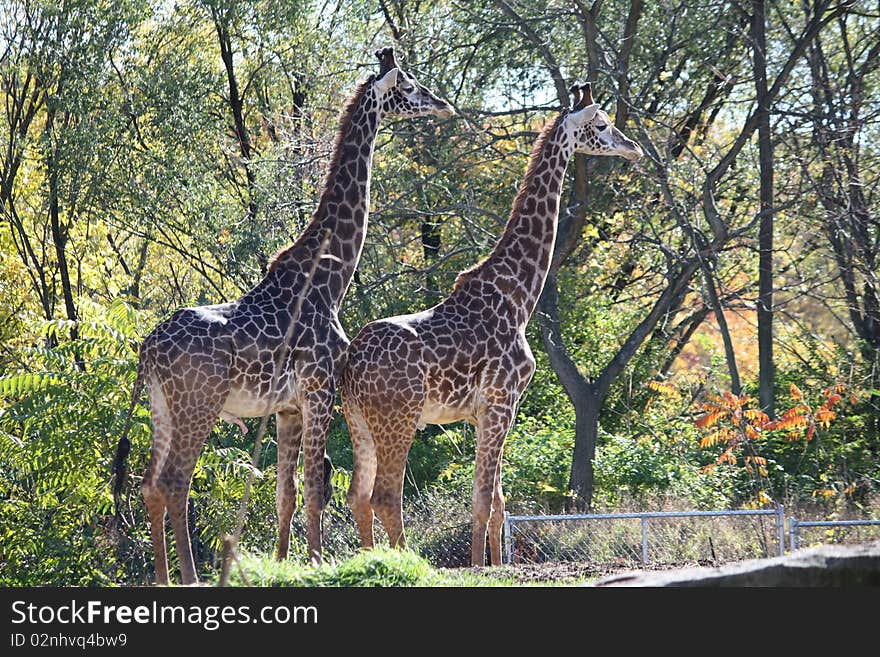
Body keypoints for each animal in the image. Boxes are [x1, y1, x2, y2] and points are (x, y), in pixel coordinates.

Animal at [111, 47, 454, 584]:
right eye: (411, 85)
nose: (443, 105)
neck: (331, 278)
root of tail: (146, 349)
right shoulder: (319, 390)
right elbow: (315, 487)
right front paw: (315, 564)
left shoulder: (288, 407)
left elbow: (286, 492)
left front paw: (283, 564)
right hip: (197, 405)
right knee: (174, 483)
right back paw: (189, 577)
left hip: (161, 406)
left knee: (149, 484)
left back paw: (165, 578)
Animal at [340, 82, 644, 564]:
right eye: (600, 125)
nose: (632, 147)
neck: (518, 295)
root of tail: (349, 366)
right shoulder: (501, 401)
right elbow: (483, 498)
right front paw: (479, 567)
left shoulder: (489, 410)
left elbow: (500, 501)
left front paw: (498, 564)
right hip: (399, 418)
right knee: (385, 496)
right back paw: (407, 562)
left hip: (357, 420)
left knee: (357, 495)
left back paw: (373, 560)